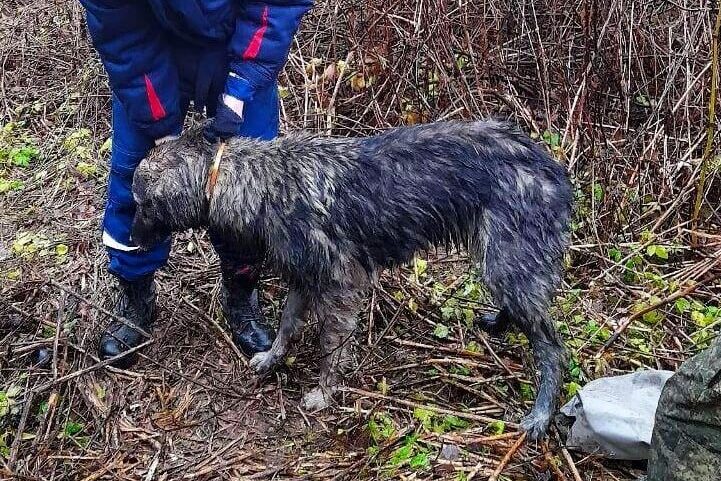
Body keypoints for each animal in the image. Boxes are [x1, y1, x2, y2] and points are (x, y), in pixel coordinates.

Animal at [130, 120, 573, 439]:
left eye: (142, 205)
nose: (130, 241)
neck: (261, 180)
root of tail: (554, 170)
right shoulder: (304, 279)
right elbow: (287, 325)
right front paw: (273, 357)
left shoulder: (340, 285)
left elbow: (331, 346)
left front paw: (325, 392)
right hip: (503, 264)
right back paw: (500, 321)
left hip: (506, 261)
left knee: (551, 345)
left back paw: (541, 413)